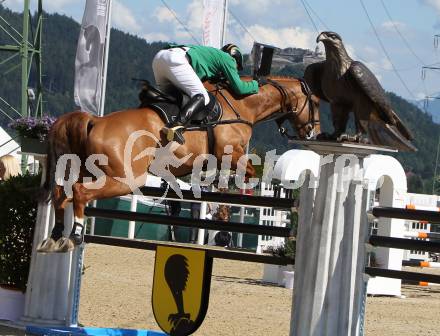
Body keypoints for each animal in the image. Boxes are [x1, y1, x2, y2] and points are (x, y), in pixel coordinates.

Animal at [37, 76, 320, 252]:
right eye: (316, 103)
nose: (313, 133)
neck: (241, 104)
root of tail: (94, 121)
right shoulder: (231, 154)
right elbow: (245, 174)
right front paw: (223, 211)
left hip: (88, 171)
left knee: (61, 194)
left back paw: (55, 238)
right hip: (125, 179)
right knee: (79, 193)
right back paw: (73, 236)